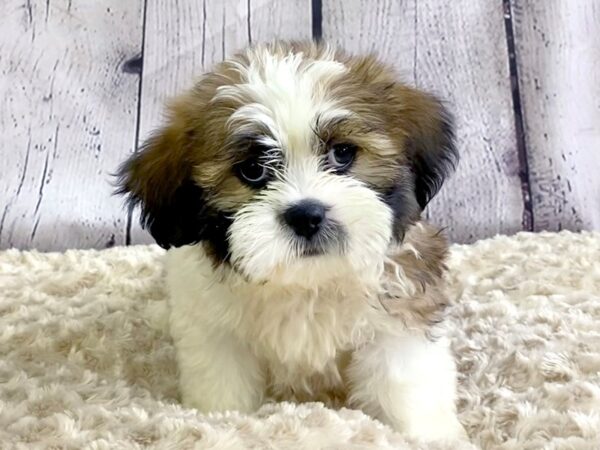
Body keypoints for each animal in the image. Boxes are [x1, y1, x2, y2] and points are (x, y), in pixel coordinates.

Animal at [116, 40, 464, 442]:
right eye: (252, 170)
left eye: (342, 153)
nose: (306, 215)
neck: (306, 281)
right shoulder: (215, 333)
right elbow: (222, 387)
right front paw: (220, 425)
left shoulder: (399, 318)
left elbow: (404, 385)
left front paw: (426, 434)